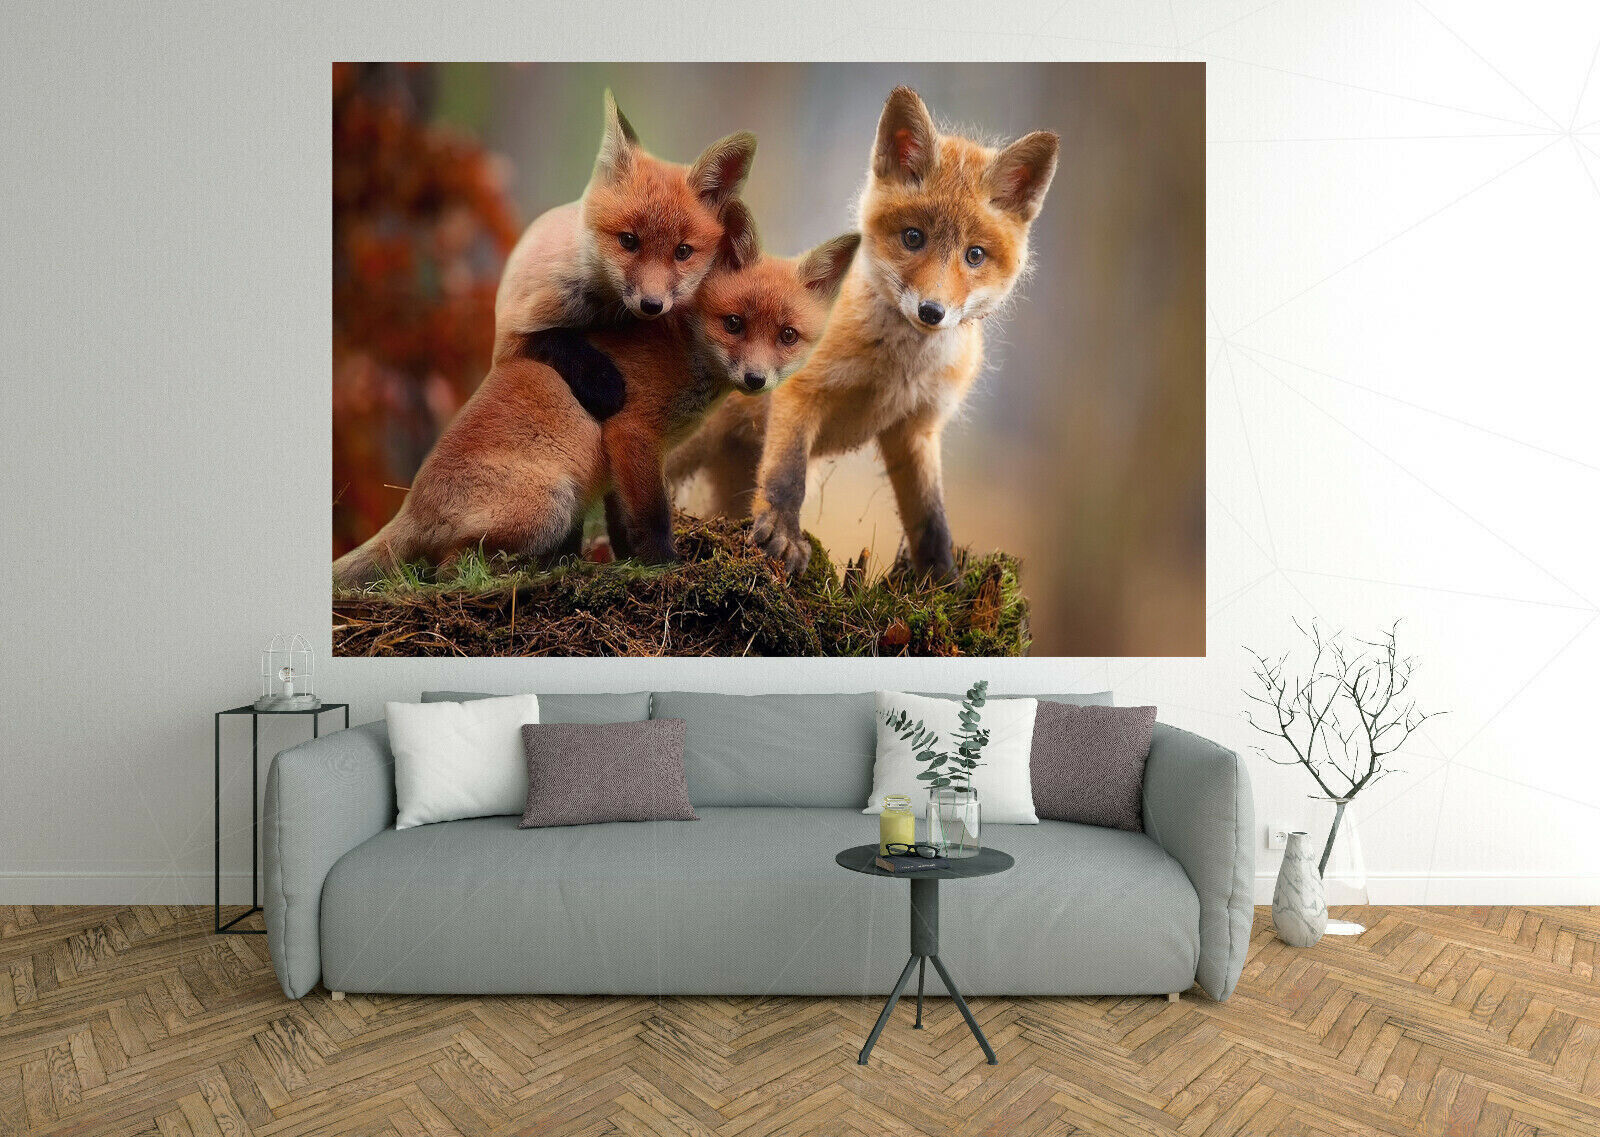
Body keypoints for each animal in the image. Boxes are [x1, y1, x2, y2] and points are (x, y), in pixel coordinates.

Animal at [332, 203, 860, 586]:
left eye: (787, 336)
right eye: (734, 324)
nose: (755, 380)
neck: (683, 348)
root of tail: (411, 507)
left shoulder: (620, 462)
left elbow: (624, 523)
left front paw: (630, 563)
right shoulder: (632, 433)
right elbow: (652, 518)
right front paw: (666, 568)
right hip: (551, 506)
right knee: (446, 570)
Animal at [493, 90, 757, 359]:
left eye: (683, 251)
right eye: (628, 240)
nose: (652, 305)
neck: (600, 313)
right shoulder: (511, 333)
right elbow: (560, 344)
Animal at [670, 87, 1058, 580]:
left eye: (975, 255)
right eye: (913, 237)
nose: (932, 311)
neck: (898, 371)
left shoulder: (916, 428)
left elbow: (931, 519)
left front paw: (943, 580)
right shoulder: (801, 392)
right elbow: (786, 478)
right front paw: (783, 536)